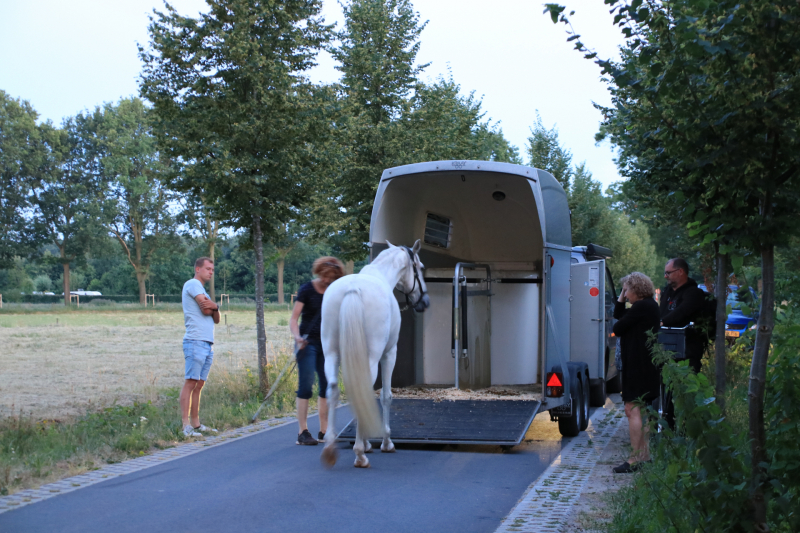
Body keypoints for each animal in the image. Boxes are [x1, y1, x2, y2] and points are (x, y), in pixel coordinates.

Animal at [319, 240, 430, 468]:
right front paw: (385, 442)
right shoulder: (389, 353)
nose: (424, 302)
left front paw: (368, 442)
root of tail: (352, 288)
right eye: (421, 267)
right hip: (372, 357)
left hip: (331, 354)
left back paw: (330, 448)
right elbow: (386, 396)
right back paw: (360, 454)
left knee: (333, 389)